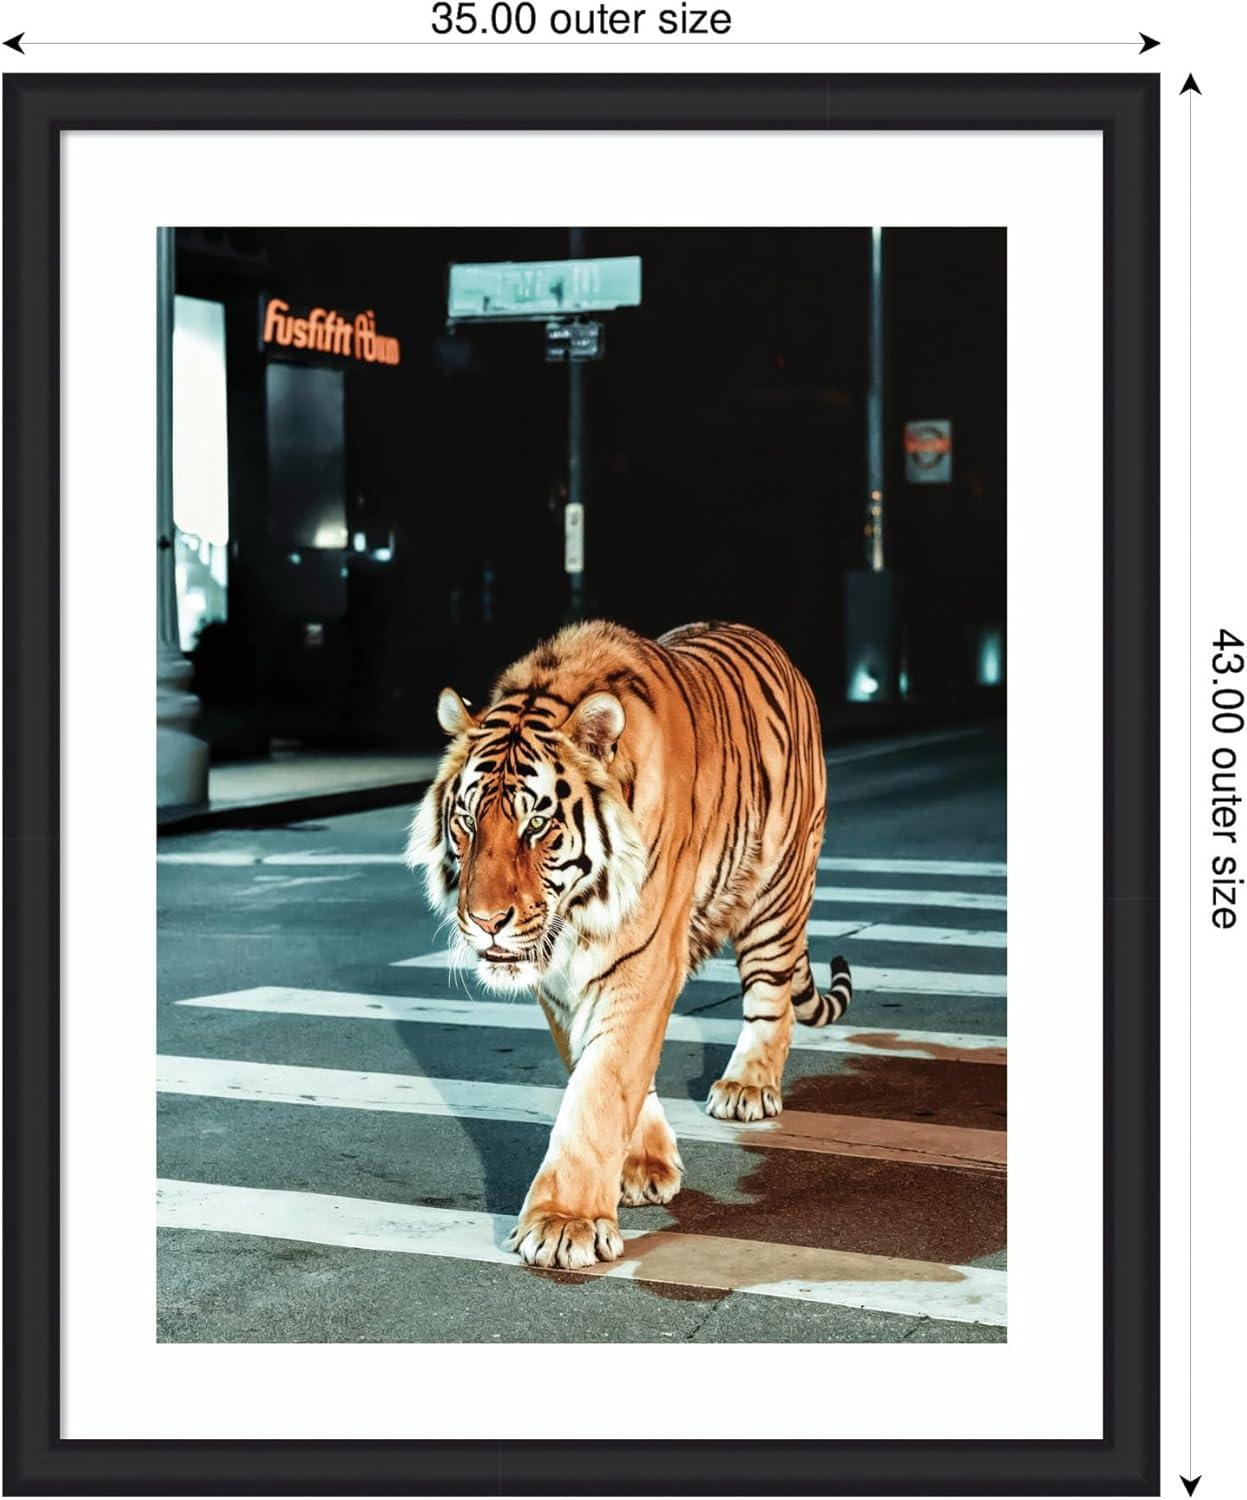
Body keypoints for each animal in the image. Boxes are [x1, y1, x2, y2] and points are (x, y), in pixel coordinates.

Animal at [406, 619, 852, 1270]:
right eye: (467, 821)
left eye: (536, 825)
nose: (486, 921)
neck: (576, 913)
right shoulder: (560, 982)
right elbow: (603, 1068)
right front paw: (641, 1167)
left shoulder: (641, 960)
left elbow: (601, 1085)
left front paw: (563, 1222)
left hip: (776, 892)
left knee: (772, 999)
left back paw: (747, 1086)